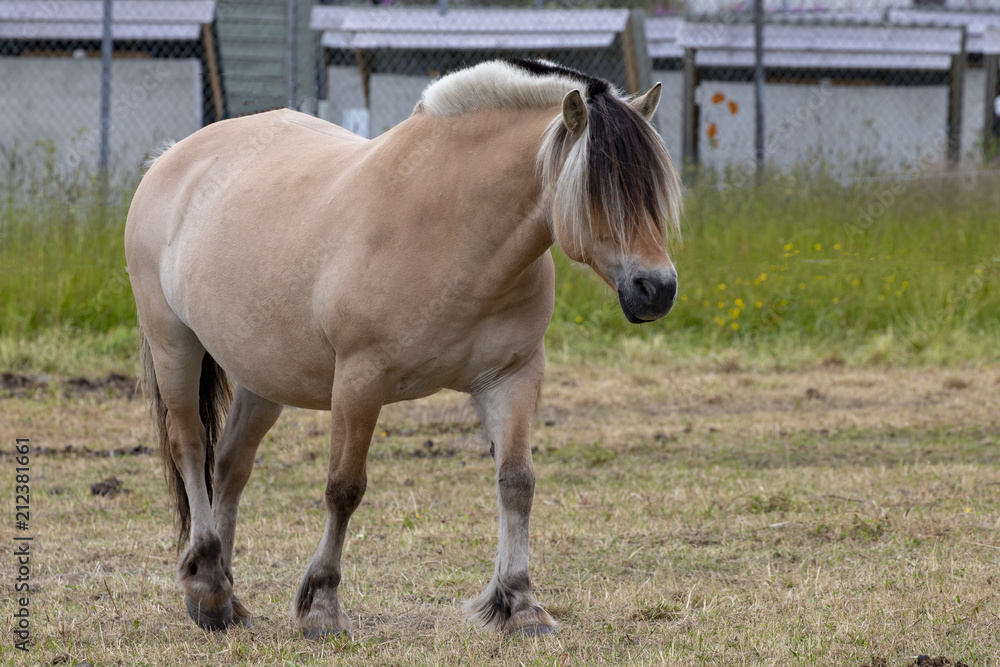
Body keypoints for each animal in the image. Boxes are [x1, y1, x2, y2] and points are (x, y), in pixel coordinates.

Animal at [124, 57, 682, 638]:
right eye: (601, 192)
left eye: (653, 192)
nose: (657, 289)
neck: (454, 229)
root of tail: (172, 159)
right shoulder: (360, 380)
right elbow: (344, 488)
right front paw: (323, 608)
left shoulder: (512, 377)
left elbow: (517, 482)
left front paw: (521, 604)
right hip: (175, 347)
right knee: (191, 449)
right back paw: (208, 587)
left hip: (264, 377)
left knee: (230, 465)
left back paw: (226, 601)